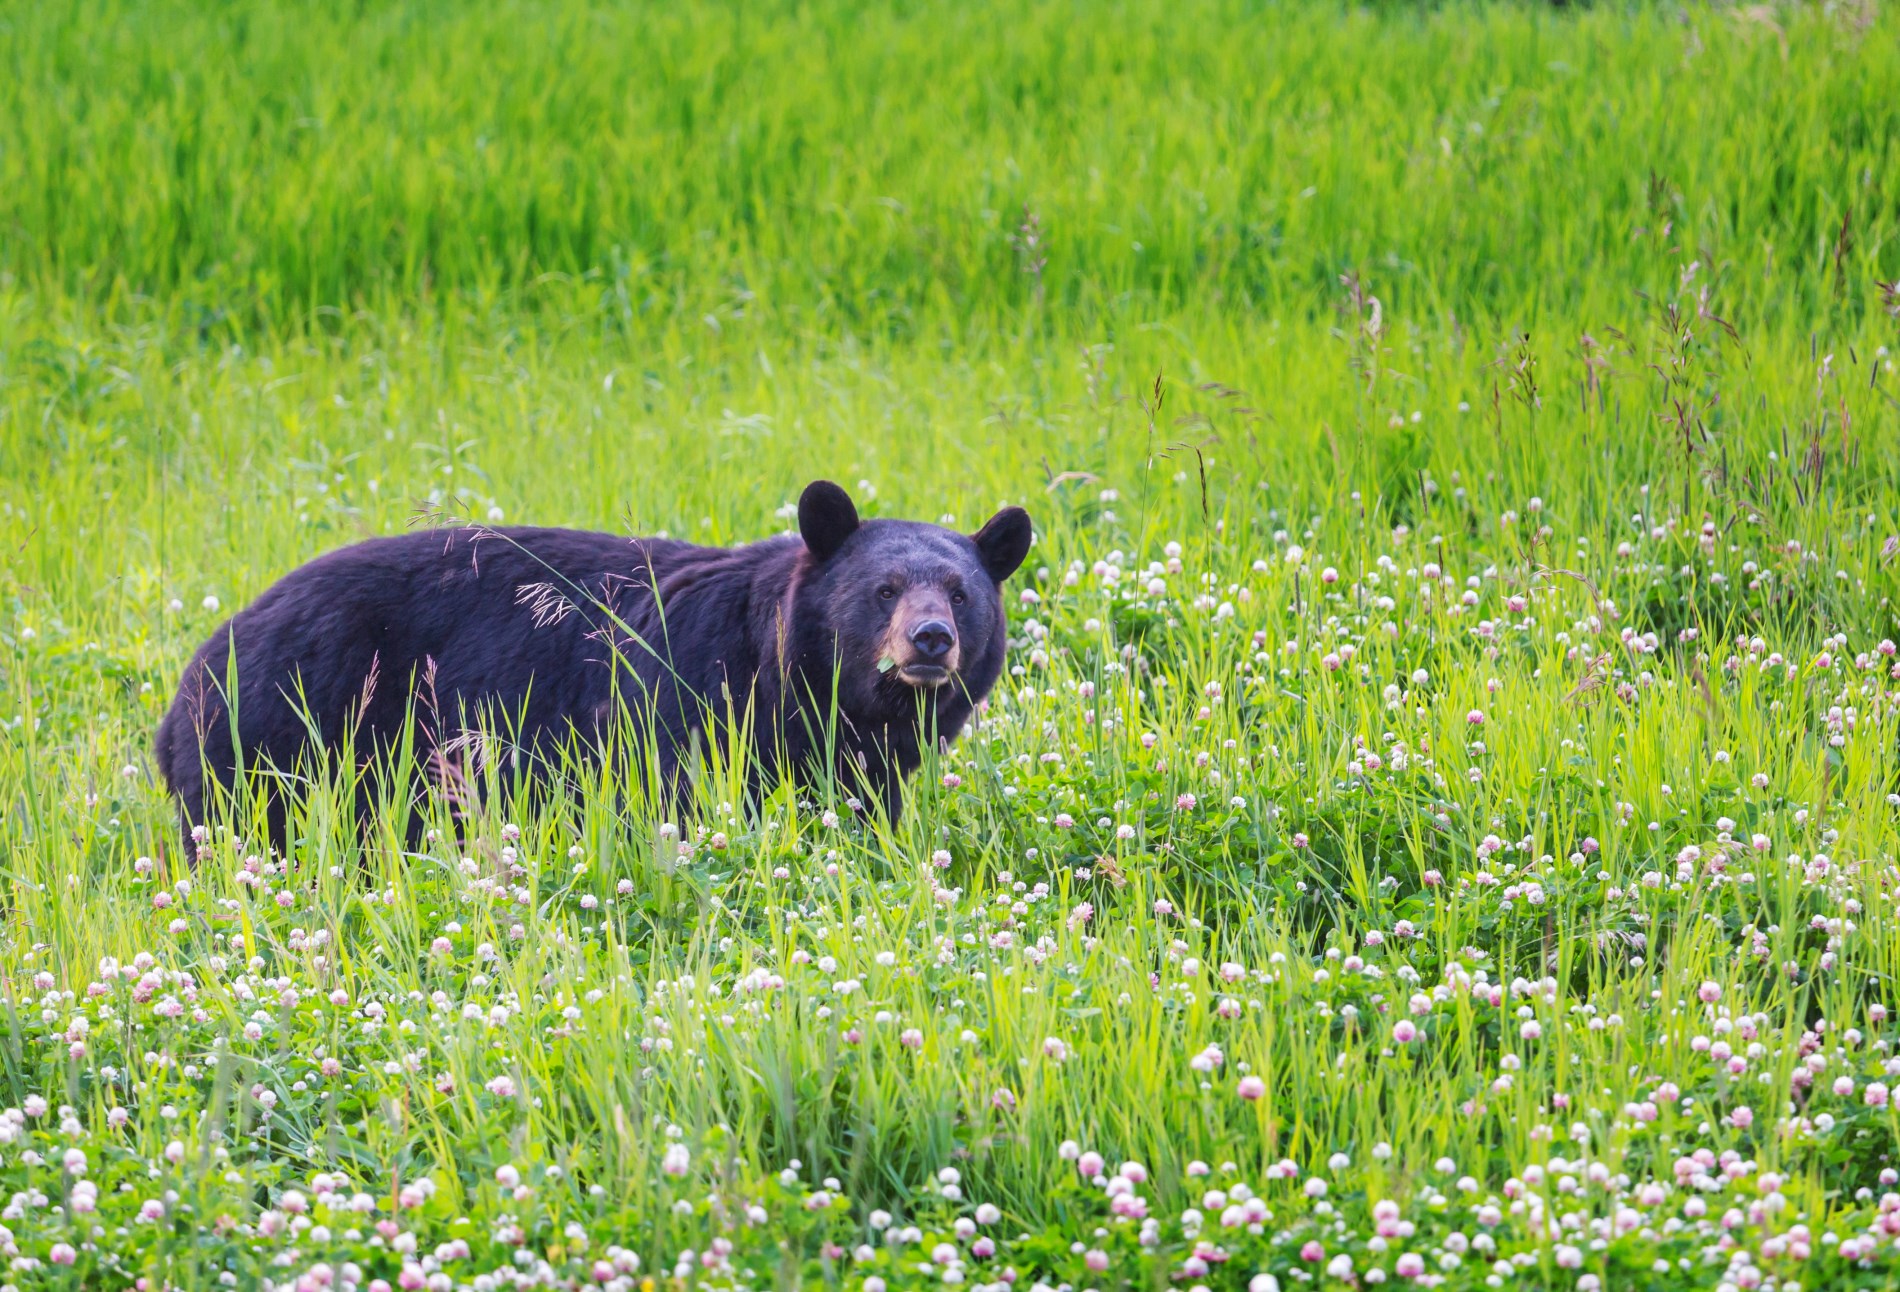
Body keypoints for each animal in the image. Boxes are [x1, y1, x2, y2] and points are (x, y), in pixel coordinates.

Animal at [155, 478, 1033, 851]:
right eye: (884, 590)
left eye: (961, 594)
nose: (930, 640)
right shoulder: (686, 702)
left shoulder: (864, 761)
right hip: (281, 731)